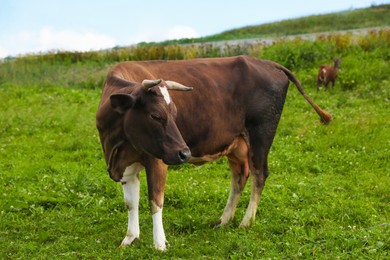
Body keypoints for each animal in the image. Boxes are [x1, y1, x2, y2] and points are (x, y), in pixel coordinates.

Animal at [96, 54, 330, 250]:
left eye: (174, 113)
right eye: (155, 115)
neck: (117, 145)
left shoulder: (157, 160)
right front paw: (130, 238)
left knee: (259, 175)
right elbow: (130, 203)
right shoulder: (125, 166)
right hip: (237, 145)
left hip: (261, 135)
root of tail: (268, 63)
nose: (184, 153)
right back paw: (224, 220)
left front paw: (159, 244)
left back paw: (246, 222)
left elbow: (155, 200)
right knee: (239, 177)